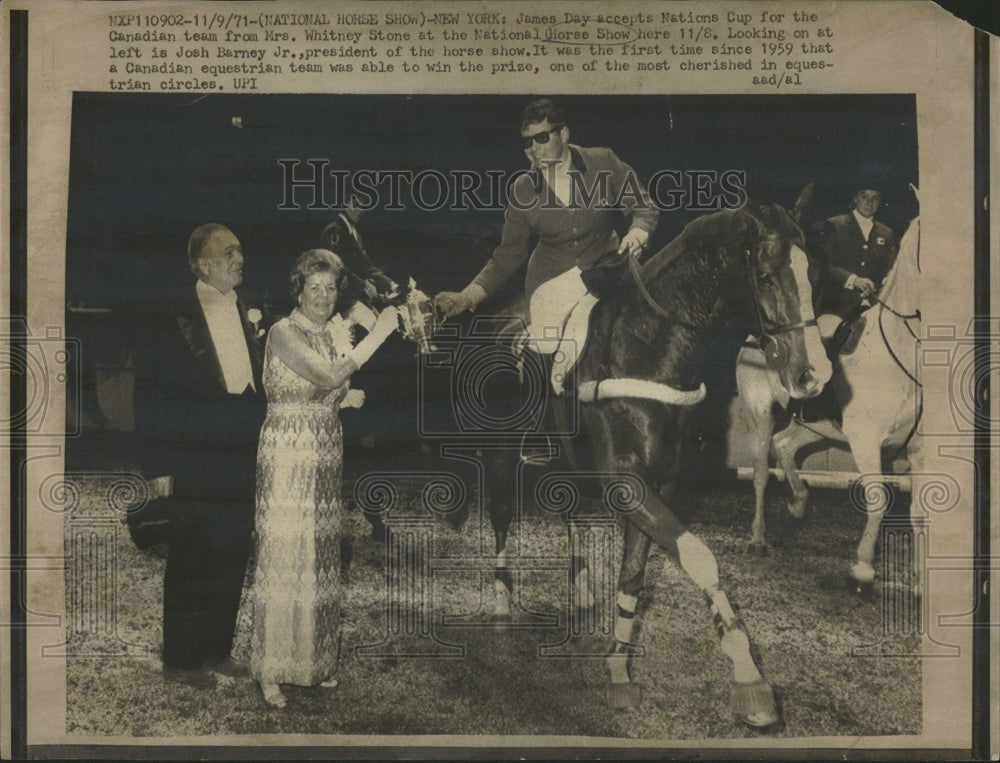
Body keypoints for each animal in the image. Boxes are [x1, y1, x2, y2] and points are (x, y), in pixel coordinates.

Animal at [464, 203, 832, 728]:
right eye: (764, 275)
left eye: (813, 273)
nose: (813, 376)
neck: (650, 348)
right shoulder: (629, 484)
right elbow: (699, 556)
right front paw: (749, 677)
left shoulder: (659, 484)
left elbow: (634, 573)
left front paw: (618, 665)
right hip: (498, 454)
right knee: (499, 516)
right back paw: (499, 598)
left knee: (569, 513)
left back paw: (581, 589)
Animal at [736, 198, 920, 596]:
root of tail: (756, 336)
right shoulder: (865, 440)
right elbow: (879, 500)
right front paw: (863, 567)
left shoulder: (917, 445)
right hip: (760, 411)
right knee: (760, 470)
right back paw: (758, 538)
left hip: (814, 425)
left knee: (785, 445)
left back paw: (798, 503)